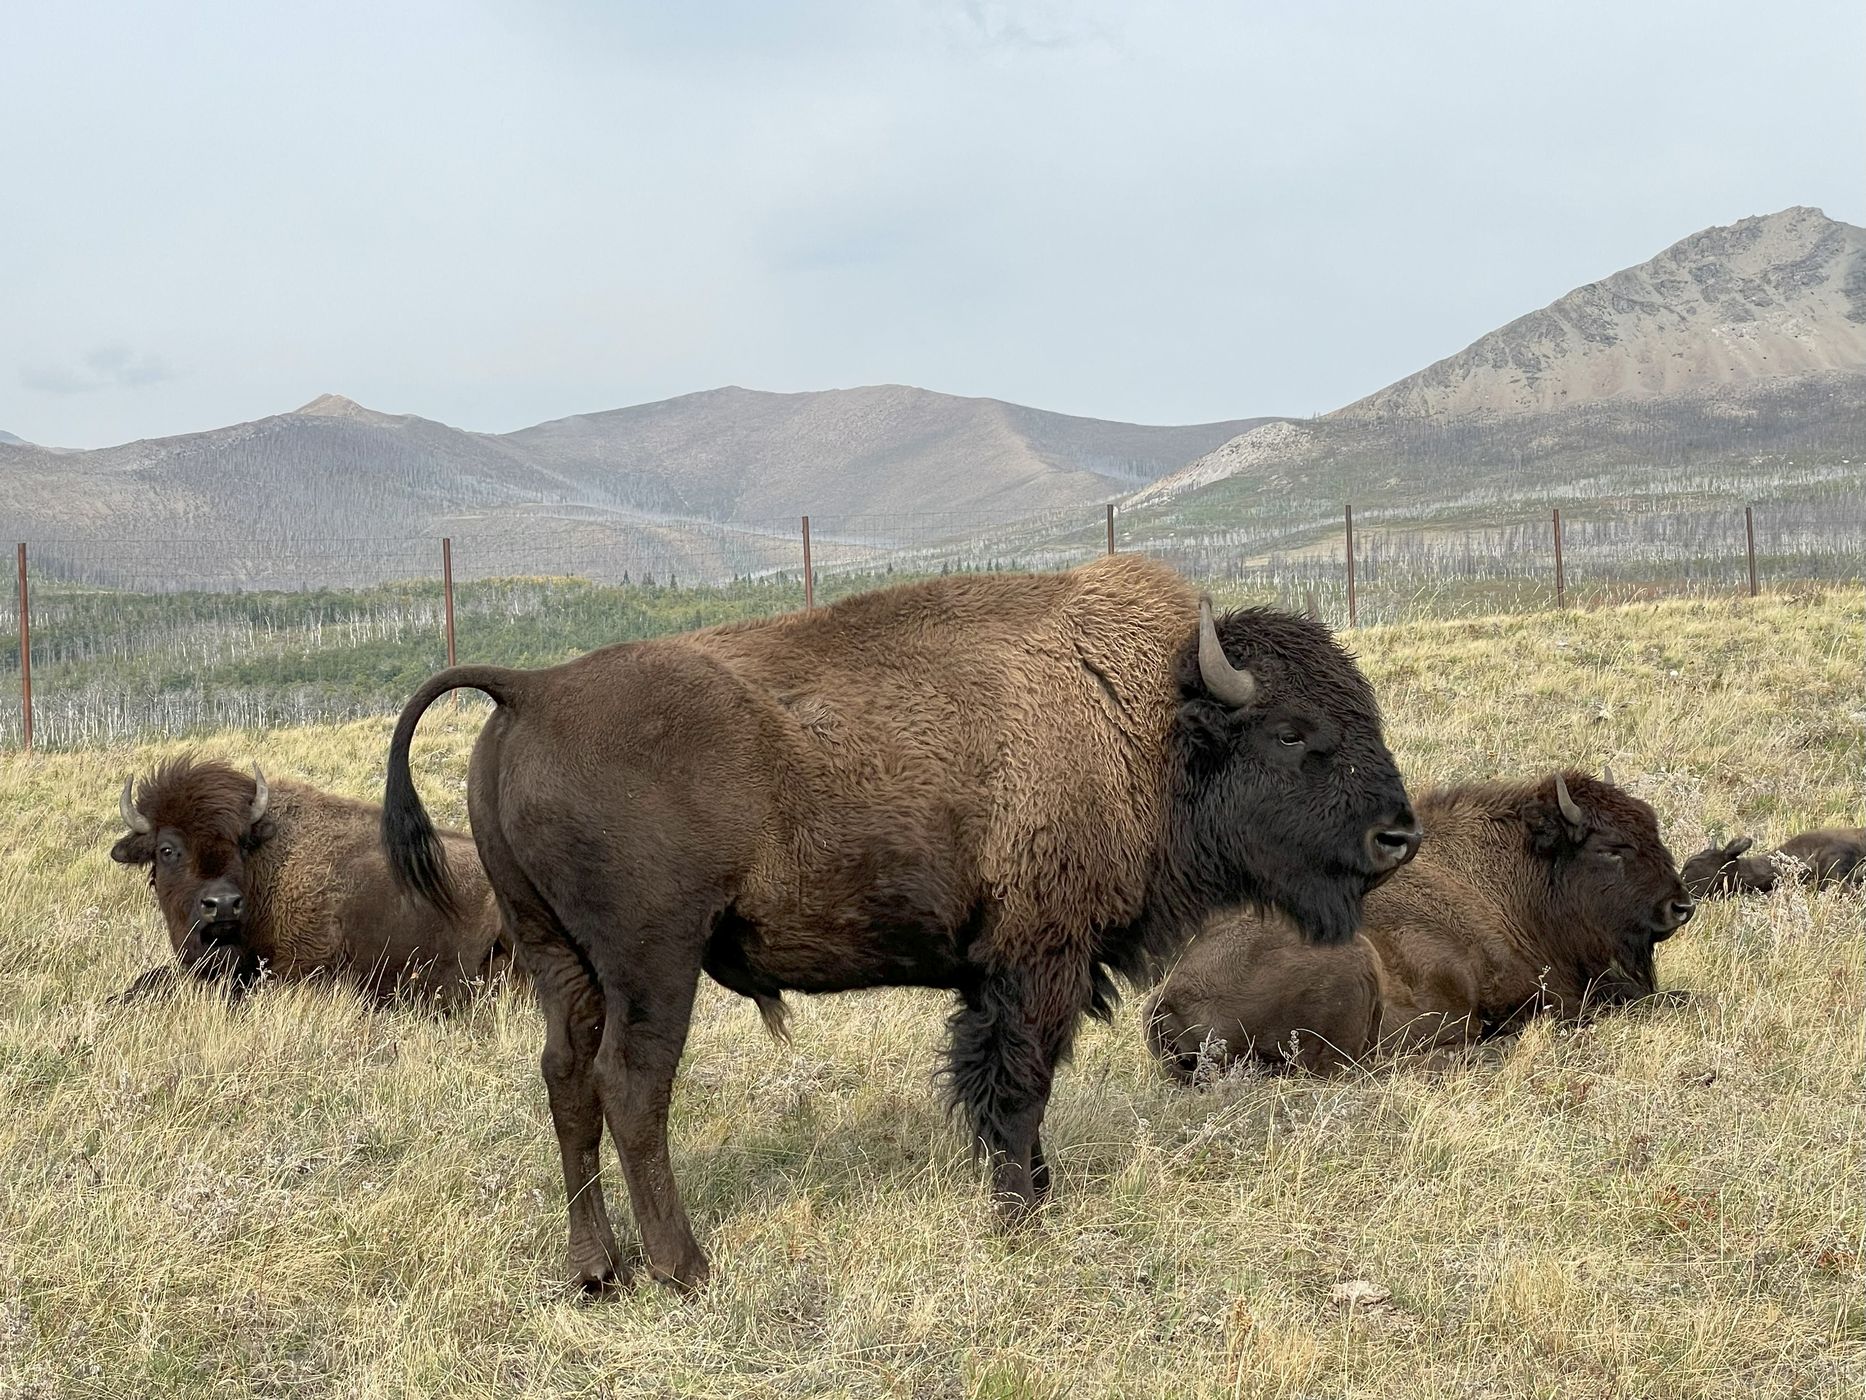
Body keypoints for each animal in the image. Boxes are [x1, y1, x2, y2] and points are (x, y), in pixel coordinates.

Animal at [381, 555, 1420, 1291]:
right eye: (1292, 732)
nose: (1397, 836)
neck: (1146, 720)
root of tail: (533, 689)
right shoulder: (1036, 961)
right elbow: (1015, 1086)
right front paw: (1018, 1215)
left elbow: (1008, 1086)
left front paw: (1033, 1194)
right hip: (651, 962)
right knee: (630, 1088)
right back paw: (685, 1268)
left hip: (559, 959)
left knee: (566, 1081)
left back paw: (597, 1270)